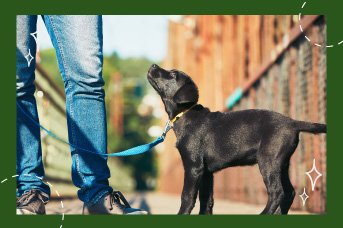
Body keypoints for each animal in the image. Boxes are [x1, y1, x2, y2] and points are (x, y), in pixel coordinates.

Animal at [148, 63, 328, 214]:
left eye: (172, 74)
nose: (153, 65)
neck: (185, 113)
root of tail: (293, 122)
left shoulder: (193, 166)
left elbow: (187, 197)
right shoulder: (206, 172)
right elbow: (206, 201)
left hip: (268, 160)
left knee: (277, 192)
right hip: (282, 163)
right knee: (289, 192)